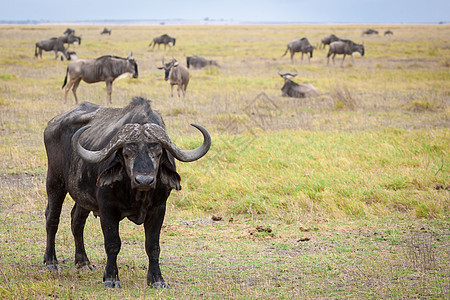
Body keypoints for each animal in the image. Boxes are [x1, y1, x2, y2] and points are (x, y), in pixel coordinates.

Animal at [43, 96, 212, 288]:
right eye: (126, 153)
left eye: (158, 152)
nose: (144, 180)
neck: (138, 196)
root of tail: (53, 123)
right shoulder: (107, 209)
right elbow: (112, 244)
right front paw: (111, 278)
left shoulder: (159, 209)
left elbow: (153, 246)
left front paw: (157, 280)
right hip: (55, 181)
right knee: (52, 218)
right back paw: (51, 261)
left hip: (82, 196)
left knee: (77, 220)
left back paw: (83, 262)